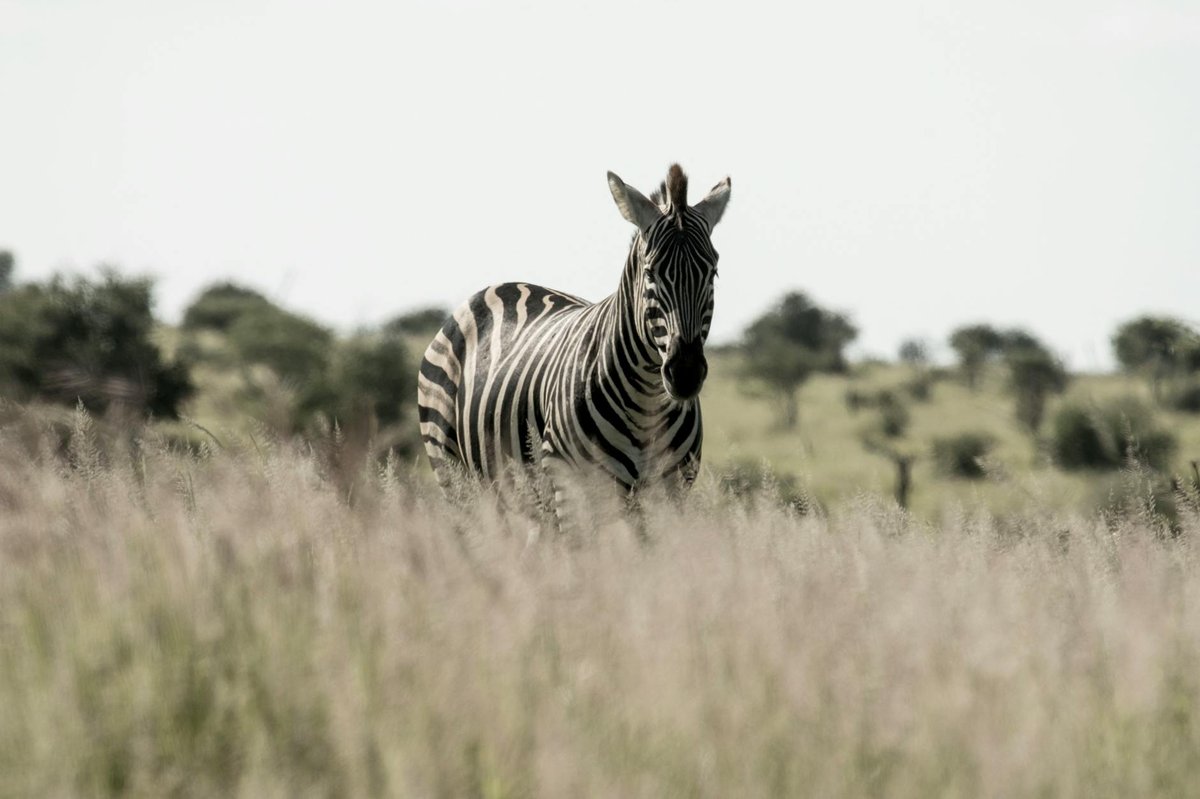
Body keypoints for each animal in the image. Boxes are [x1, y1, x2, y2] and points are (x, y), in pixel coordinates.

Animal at [417, 164, 731, 525]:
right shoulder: (572, 491)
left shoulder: (671, 492)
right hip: (454, 475)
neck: (647, 404)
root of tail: (500, 287)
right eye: (651, 273)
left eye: (713, 272)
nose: (685, 373)